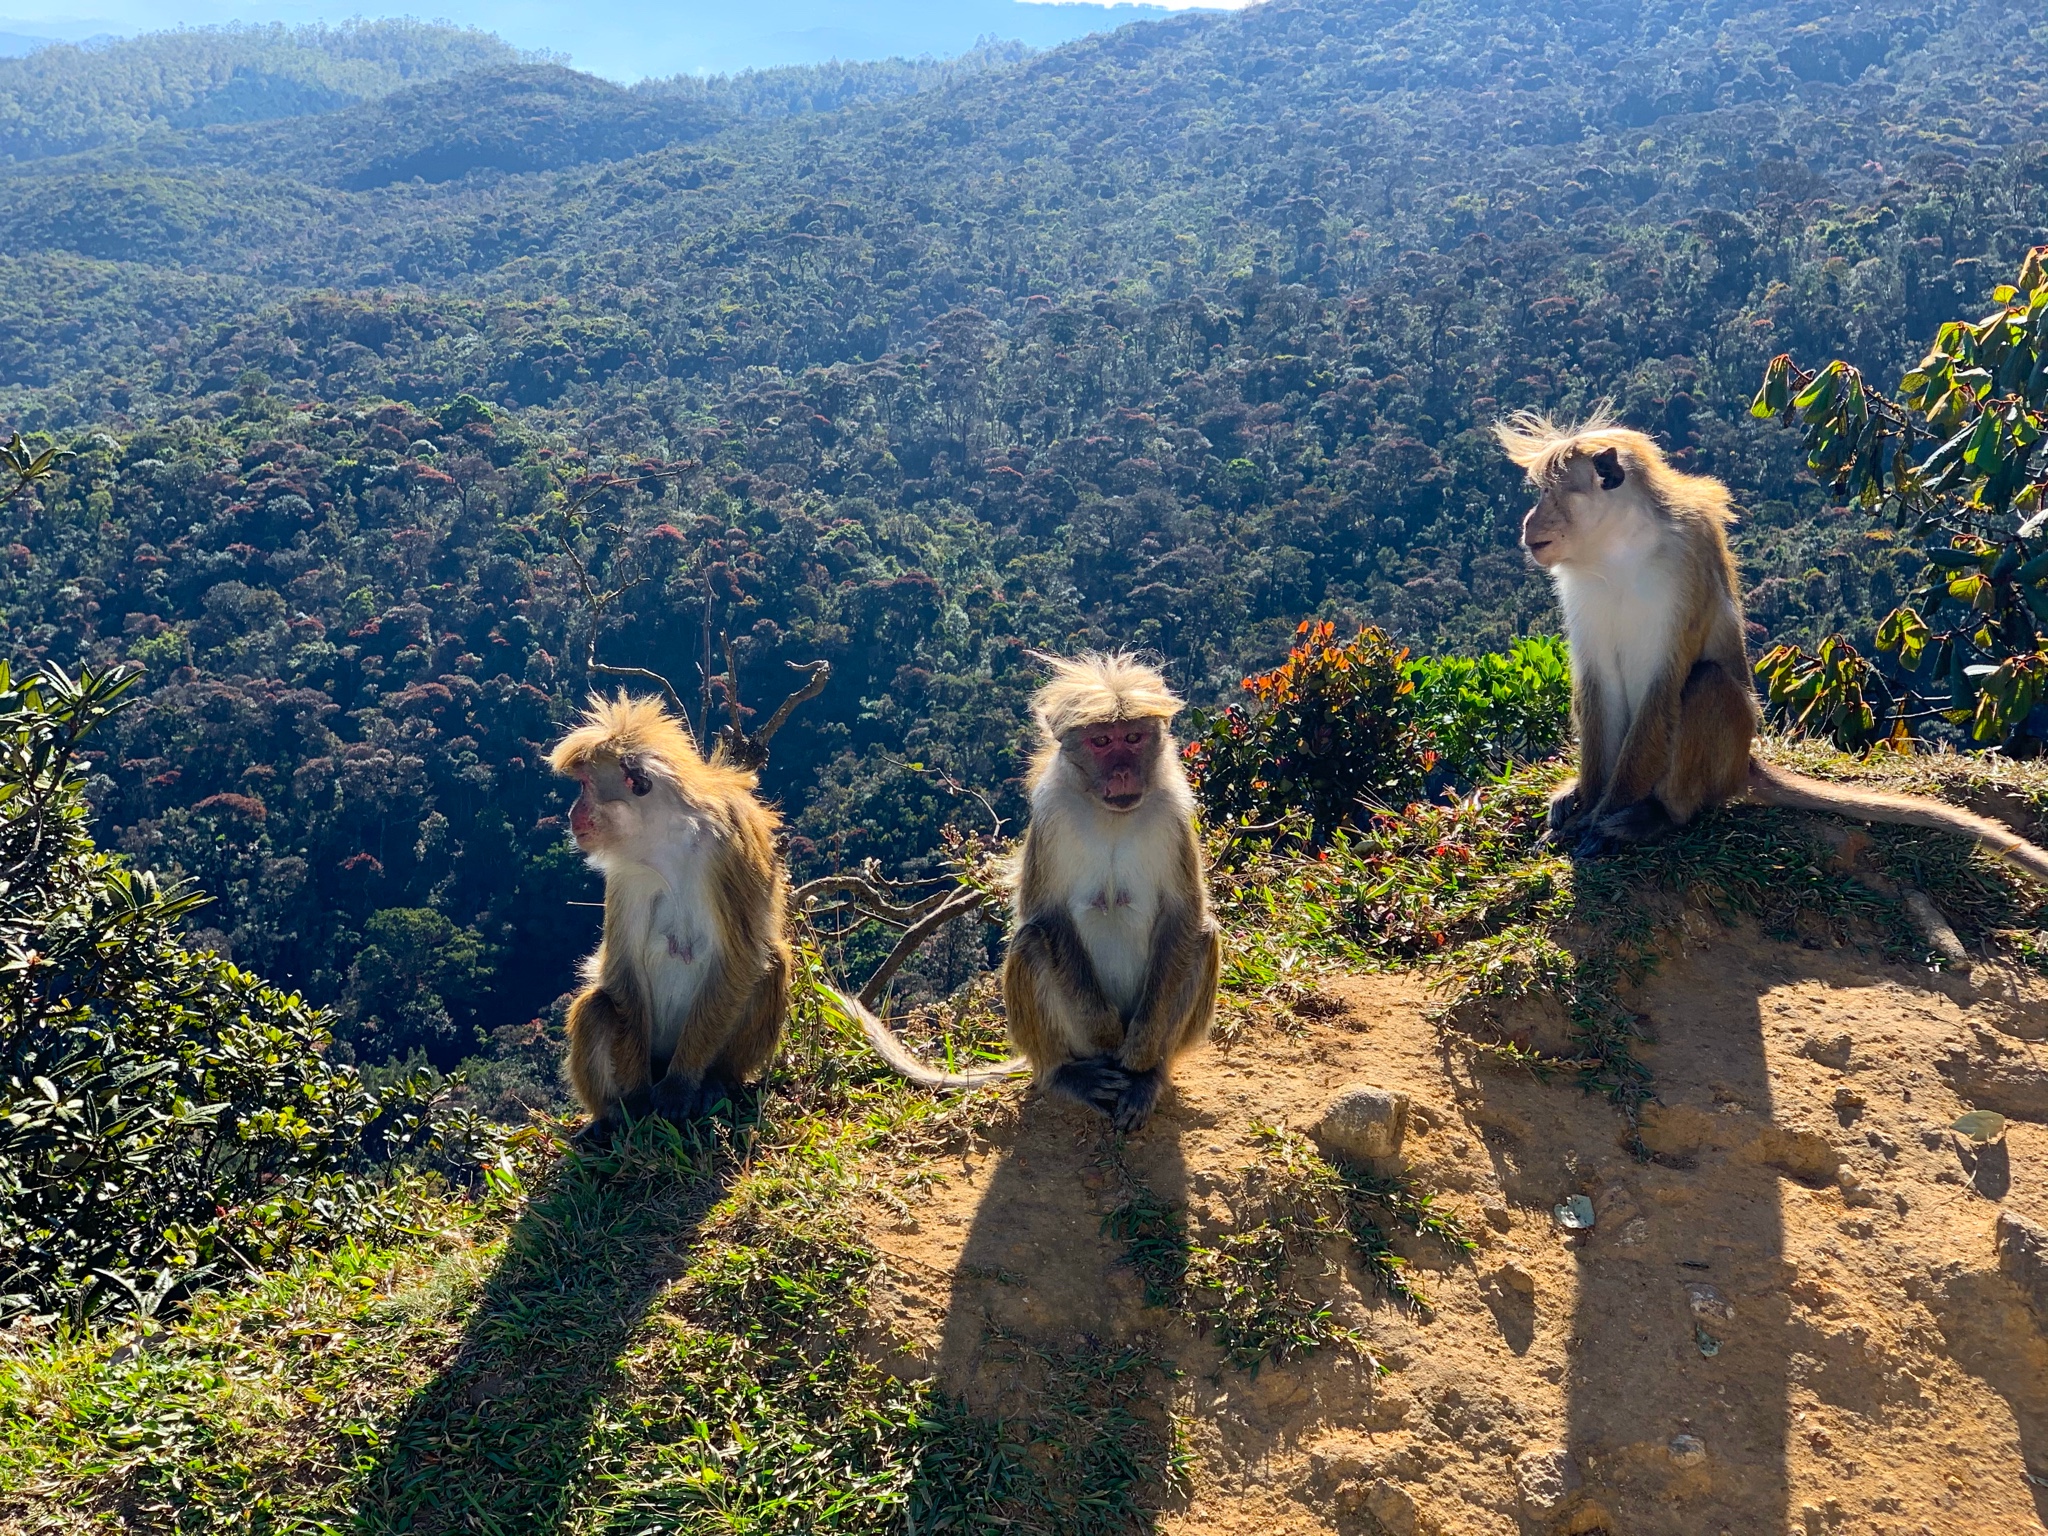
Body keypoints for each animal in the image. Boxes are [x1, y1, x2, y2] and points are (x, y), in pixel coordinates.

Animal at [552, 696, 790, 1146]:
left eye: (585, 786)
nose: (572, 815)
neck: (668, 836)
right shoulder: (628, 873)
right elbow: (622, 969)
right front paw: (635, 1096)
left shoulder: (728, 850)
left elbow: (740, 957)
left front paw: (681, 1085)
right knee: (598, 1008)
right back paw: (610, 1116)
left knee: (770, 966)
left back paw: (716, 1081)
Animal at [1490, 415, 2048, 884]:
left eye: (1552, 494)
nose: (1528, 523)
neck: (1617, 548)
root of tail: (1745, 765)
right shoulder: (1580, 588)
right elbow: (1598, 683)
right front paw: (1583, 803)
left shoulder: (1682, 567)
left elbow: (1666, 685)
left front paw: (1598, 819)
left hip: (1722, 760)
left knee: (1708, 685)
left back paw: (1658, 815)